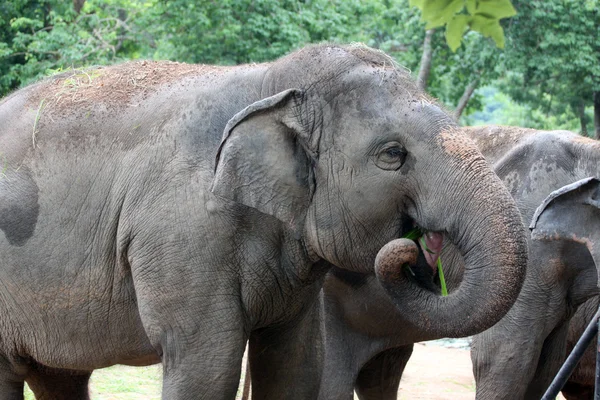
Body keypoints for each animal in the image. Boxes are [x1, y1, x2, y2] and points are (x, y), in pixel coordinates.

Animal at [0, 44, 524, 400]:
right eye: (393, 155)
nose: (415, 247)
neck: (270, 82)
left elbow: (296, 363)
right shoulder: (181, 233)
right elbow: (207, 363)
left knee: (58, 376)